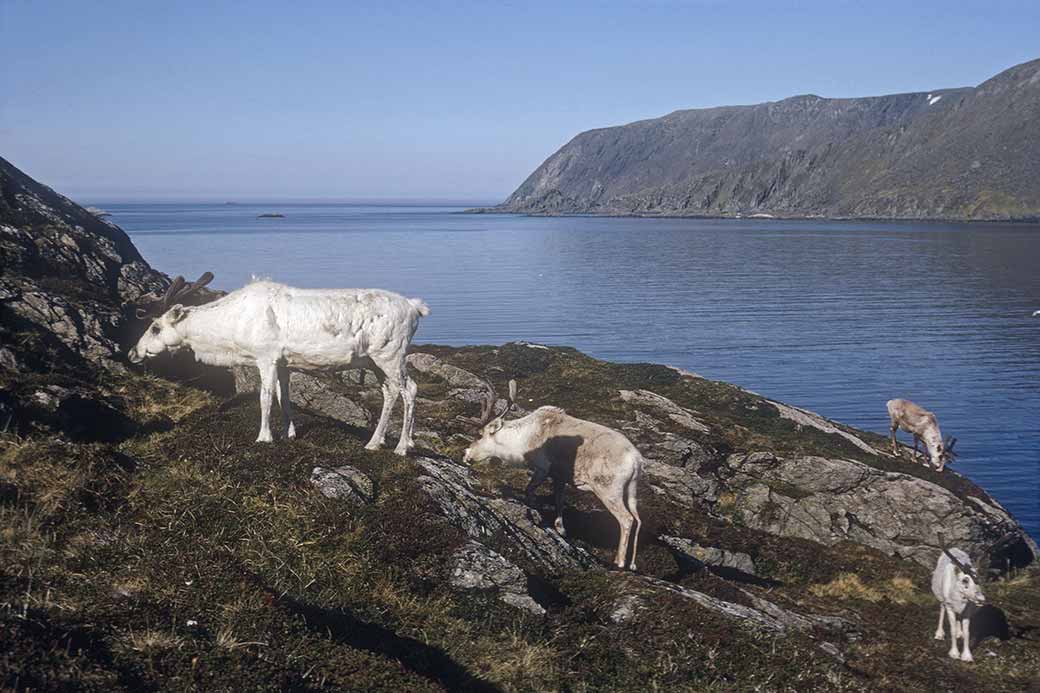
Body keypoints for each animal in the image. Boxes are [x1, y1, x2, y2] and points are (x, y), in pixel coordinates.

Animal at [129, 274, 429, 455]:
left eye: (155, 327)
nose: (133, 352)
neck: (230, 334)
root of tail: (416, 308)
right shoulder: (284, 362)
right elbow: (284, 397)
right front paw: (289, 433)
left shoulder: (266, 356)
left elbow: (265, 397)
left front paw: (264, 437)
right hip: (376, 360)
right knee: (390, 391)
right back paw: (378, 442)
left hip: (391, 354)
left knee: (410, 389)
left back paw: (401, 446)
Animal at [462, 379, 643, 570]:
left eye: (479, 435)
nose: (465, 455)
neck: (520, 442)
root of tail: (637, 461)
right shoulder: (559, 476)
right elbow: (559, 499)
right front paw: (561, 528)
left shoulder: (543, 468)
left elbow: (529, 490)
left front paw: (537, 516)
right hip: (631, 490)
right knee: (638, 519)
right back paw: (632, 564)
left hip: (609, 490)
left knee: (626, 519)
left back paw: (619, 561)